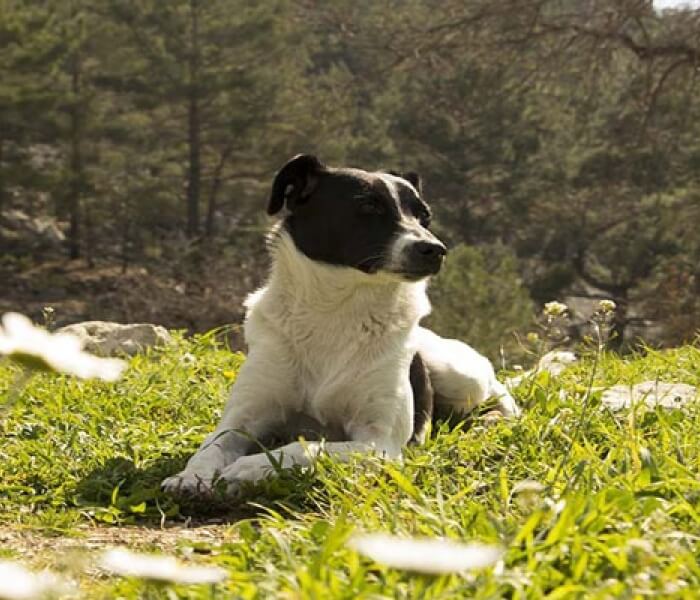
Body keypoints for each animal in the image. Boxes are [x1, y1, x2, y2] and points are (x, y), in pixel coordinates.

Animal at [161, 154, 516, 496]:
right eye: (368, 207)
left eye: (424, 217)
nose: (436, 250)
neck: (334, 310)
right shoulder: (241, 419)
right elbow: (210, 447)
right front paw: (190, 476)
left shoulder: (379, 442)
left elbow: (306, 447)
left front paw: (250, 467)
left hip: (458, 374)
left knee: (495, 389)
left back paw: (496, 418)